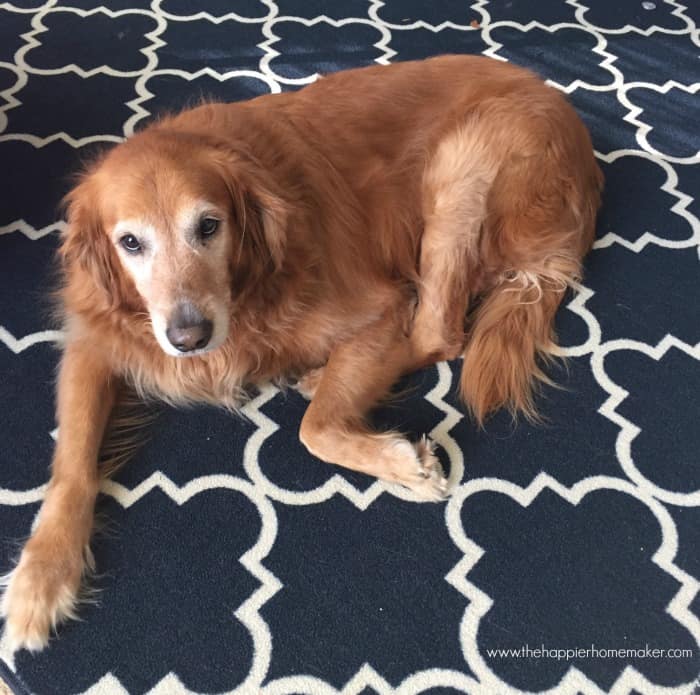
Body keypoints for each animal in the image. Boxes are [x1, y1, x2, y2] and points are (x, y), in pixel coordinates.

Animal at [0, 55, 600, 652]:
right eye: (130, 243)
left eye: (209, 226)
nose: (189, 337)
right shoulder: (92, 340)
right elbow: (71, 459)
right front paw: (41, 576)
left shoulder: (379, 308)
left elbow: (316, 430)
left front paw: (404, 465)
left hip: (460, 168)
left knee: (437, 333)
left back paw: (321, 376)